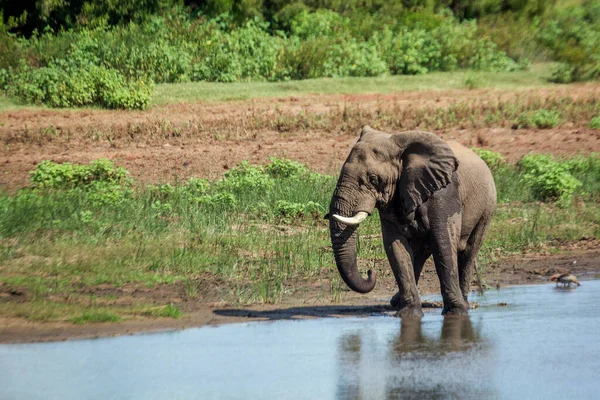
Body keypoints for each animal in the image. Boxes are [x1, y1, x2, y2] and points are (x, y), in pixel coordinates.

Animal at [328, 125, 496, 316]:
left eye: (373, 179)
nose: (370, 271)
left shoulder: (444, 193)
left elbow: (443, 243)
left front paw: (455, 313)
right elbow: (396, 248)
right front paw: (408, 314)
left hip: (487, 208)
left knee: (468, 252)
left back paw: (465, 305)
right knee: (421, 252)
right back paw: (396, 302)